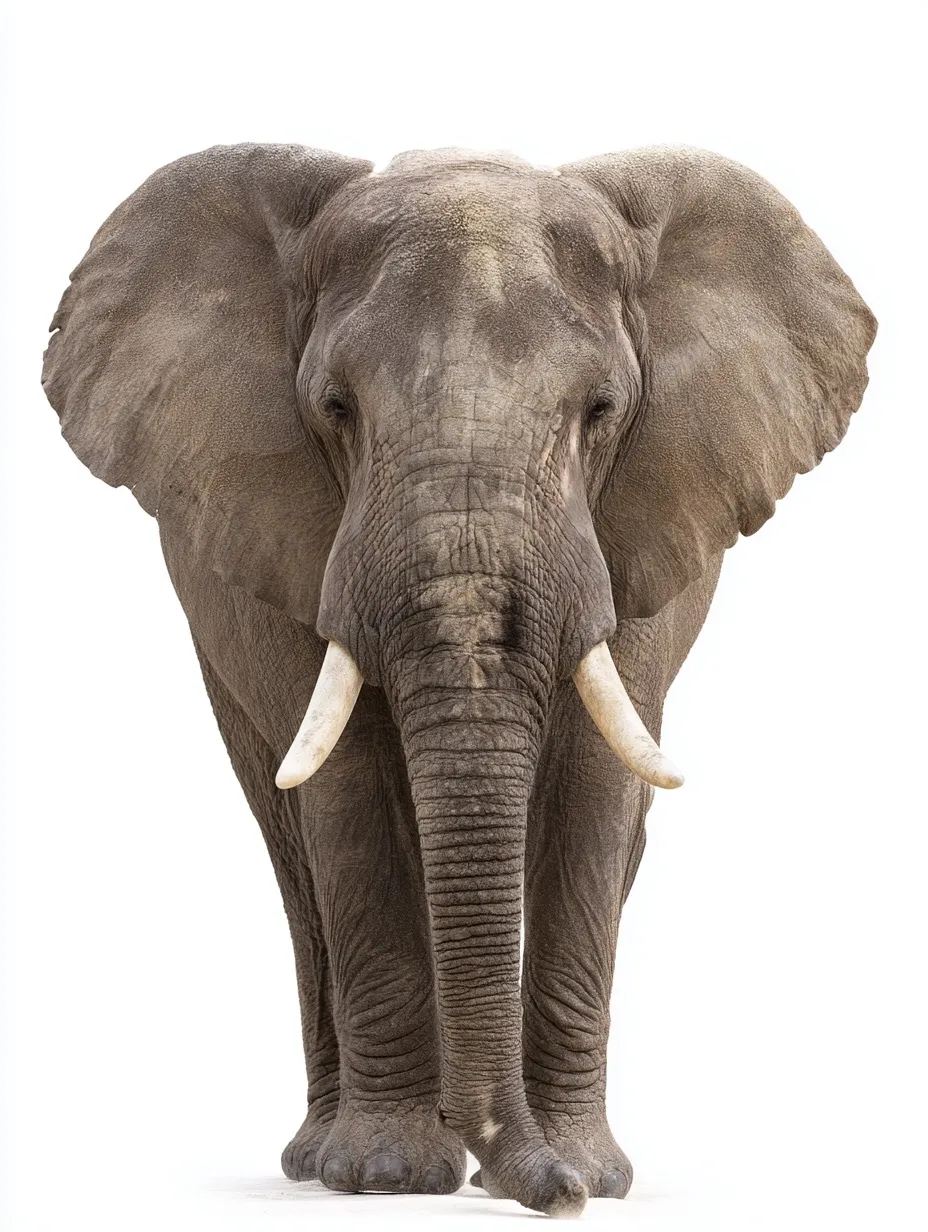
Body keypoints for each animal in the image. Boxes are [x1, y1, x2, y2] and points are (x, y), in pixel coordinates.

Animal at [41, 143, 875, 1217]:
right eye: (336, 410)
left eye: (601, 413)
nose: (548, 1194)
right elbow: (350, 790)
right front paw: (388, 1177)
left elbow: (593, 798)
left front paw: (592, 1177)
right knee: (293, 848)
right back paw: (325, 1157)